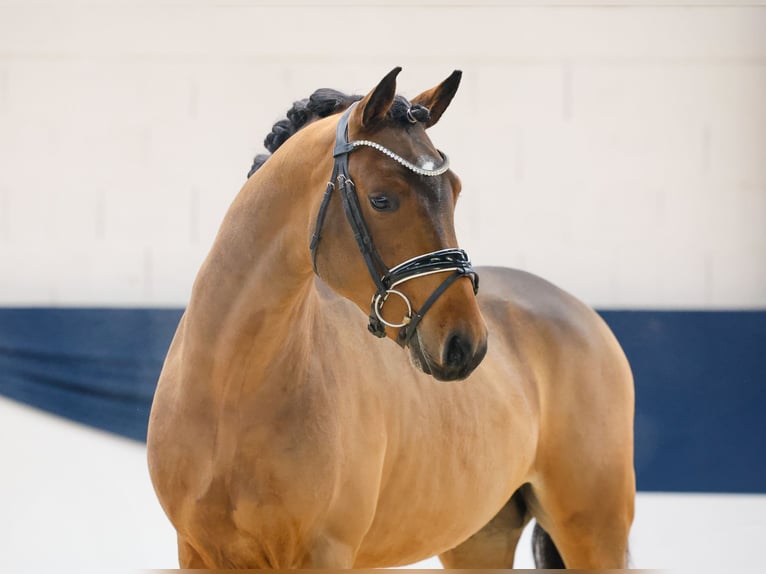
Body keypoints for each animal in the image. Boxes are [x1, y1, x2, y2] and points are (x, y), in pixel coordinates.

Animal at [148, 67, 636, 572]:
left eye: (455, 191)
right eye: (381, 200)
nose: (466, 343)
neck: (230, 390)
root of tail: (582, 314)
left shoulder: (325, 555)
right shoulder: (196, 554)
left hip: (594, 532)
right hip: (480, 539)